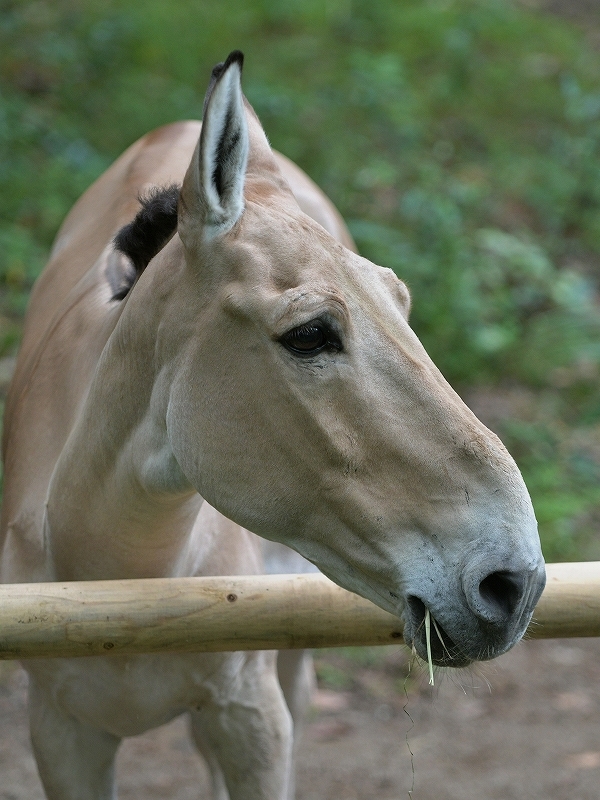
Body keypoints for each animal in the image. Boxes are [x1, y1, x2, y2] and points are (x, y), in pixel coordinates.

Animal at [0, 51, 544, 800]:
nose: (515, 584)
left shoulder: (252, 715)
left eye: (402, 306)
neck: (117, 568)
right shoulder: (62, 732)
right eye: (310, 334)